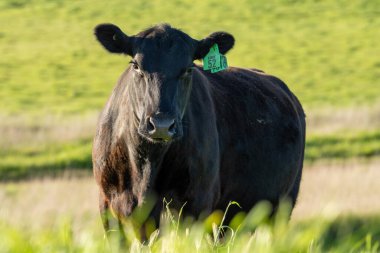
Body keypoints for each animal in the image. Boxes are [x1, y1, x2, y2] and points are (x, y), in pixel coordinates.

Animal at [92, 22, 306, 238]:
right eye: (136, 65)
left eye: (188, 69)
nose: (161, 125)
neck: (145, 166)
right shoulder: (107, 206)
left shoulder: (196, 206)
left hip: (282, 207)